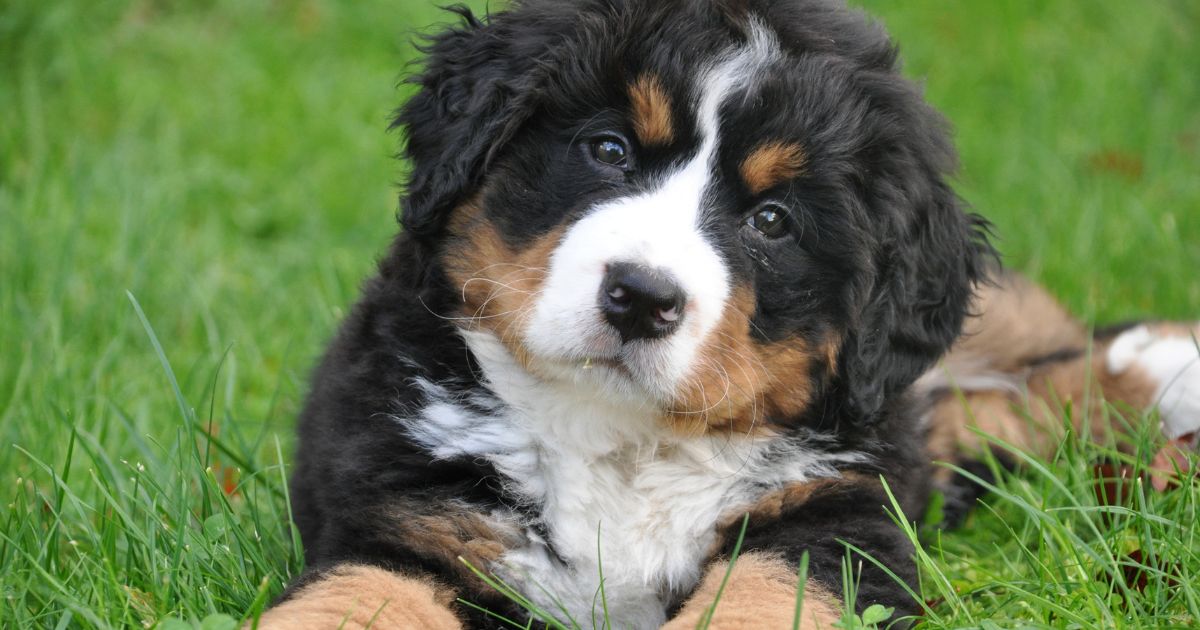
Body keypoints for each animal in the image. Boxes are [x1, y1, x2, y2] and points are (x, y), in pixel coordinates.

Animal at [262, 2, 1200, 624]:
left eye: (772, 220)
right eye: (608, 149)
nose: (642, 297)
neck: (620, 440)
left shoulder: (834, 521)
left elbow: (756, 593)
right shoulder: (406, 517)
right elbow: (353, 599)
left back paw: (1165, 371)